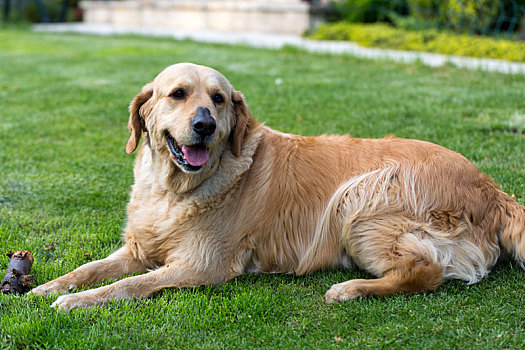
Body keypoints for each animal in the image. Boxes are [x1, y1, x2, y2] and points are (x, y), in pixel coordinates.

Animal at [32, 63, 524, 312]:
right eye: (177, 94)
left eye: (219, 99)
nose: (206, 126)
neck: (175, 189)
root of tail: (493, 189)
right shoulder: (137, 247)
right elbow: (91, 268)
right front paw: (48, 287)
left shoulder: (203, 265)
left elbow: (129, 285)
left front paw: (77, 302)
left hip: (359, 197)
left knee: (426, 272)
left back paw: (351, 289)